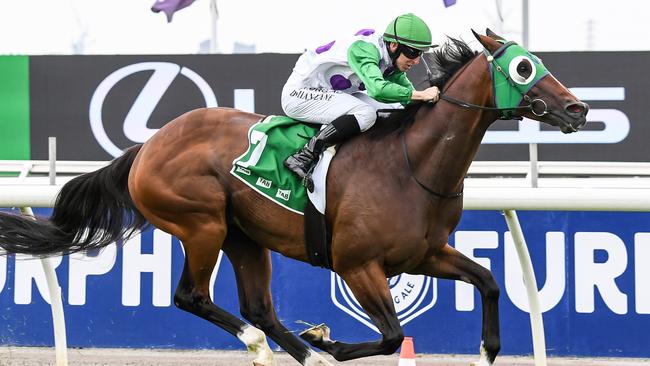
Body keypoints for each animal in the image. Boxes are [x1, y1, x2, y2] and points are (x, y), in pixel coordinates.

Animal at [0, 30, 588, 364]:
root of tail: (148, 145)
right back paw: (280, 349)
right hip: (201, 223)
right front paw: (332, 343)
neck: (411, 164)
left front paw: (487, 349)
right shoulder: (357, 264)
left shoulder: (423, 254)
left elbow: (488, 281)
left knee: (259, 307)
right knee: (194, 298)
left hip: (244, 235)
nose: (578, 109)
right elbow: (392, 335)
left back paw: (302, 353)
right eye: (524, 67)